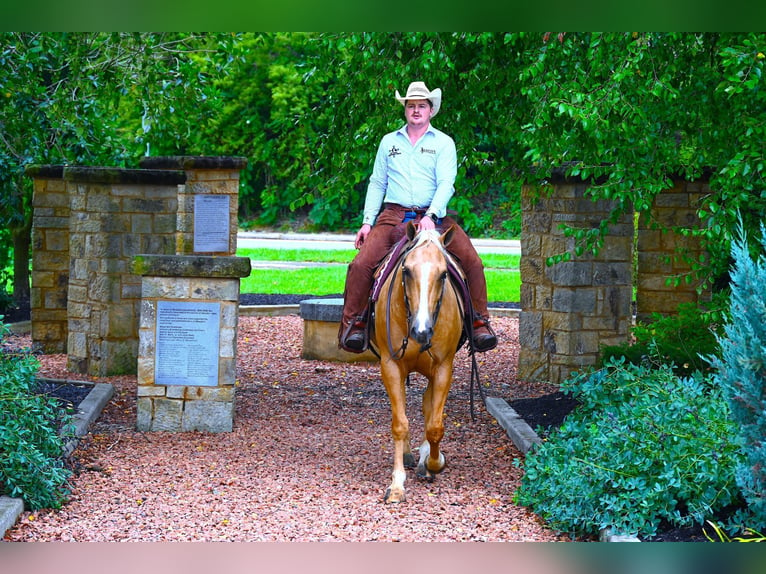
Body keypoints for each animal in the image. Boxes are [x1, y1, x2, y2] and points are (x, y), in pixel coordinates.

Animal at [368, 224, 464, 504]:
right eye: (406, 270)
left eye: (444, 274)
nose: (422, 331)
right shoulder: (390, 366)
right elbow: (399, 423)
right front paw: (397, 484)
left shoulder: (443, 368)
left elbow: (435, 425)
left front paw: (434, 462)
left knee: (427, 405)